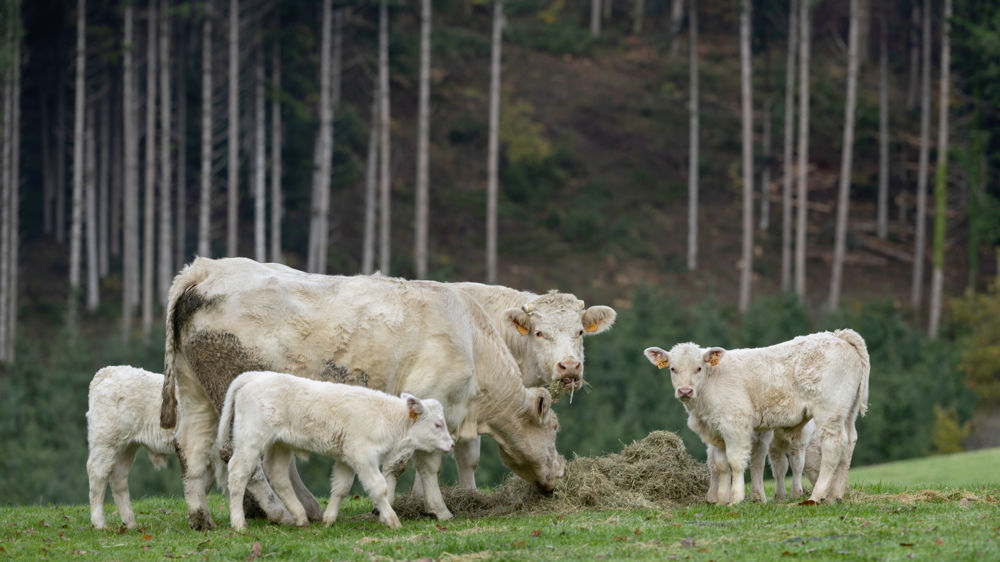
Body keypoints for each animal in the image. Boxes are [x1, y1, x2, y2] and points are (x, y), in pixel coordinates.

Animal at [217, 371, 454, 530]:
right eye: (438, 424)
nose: (452, 444)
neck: (386, 418)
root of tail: (254, 376)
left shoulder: (347, 458)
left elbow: (341, 487)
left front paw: (328, 519)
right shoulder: (363, 456)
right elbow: (379, 488)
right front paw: (393, 520)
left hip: (280, 444)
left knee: (277, 473)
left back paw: (301, 517)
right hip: (250, 440)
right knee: (238, 472)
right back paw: (238, 523)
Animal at [643, 329, 869, 505]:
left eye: (699, 368)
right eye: (673, 369)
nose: (685, 391)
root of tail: (839, 335)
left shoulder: (735, 424)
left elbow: (735, 462)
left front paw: (735, 499)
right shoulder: (716, 432)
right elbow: (720, 465)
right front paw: (721, 500)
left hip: (829, 411)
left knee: (833, 446)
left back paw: (817, 496)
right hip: (847, 412)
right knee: (849, 443)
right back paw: (835, 495)